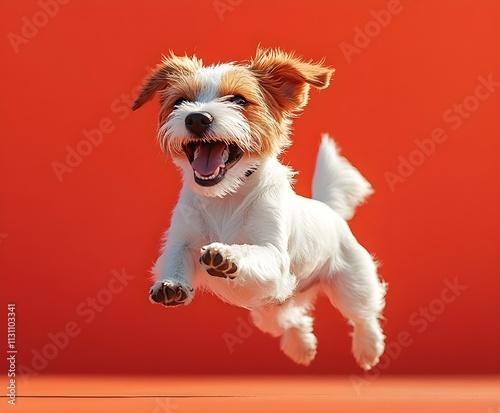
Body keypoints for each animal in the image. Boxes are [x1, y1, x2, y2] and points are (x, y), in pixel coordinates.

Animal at [131, 47, 384, 366]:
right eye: (180, 101)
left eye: (239, 100)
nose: (196, 118)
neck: (225, 197)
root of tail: (328, 209)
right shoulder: (182, 239)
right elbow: (176, 258)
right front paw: (171, 285)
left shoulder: (273, 254)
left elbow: (253, 252)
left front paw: (227, 255)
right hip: (271, 305)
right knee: (292, 318)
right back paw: (301, 346)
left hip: (352, 283)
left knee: (364, 314)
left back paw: (368, 347)